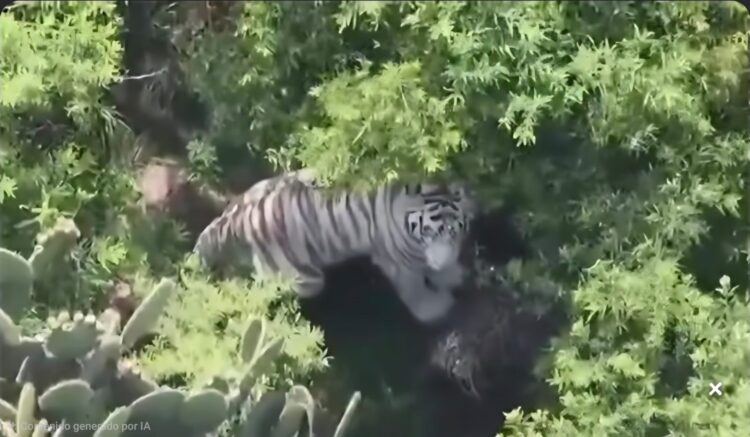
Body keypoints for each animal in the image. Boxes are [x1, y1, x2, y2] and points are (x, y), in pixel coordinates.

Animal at [192, 170, 476, 324]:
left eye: (454, 232)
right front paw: (435, 308)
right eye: (428, 231)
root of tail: (237, 217)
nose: (441, 261)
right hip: (303, 279)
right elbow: (415, 288)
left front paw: (452, 275)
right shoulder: (397, 259)